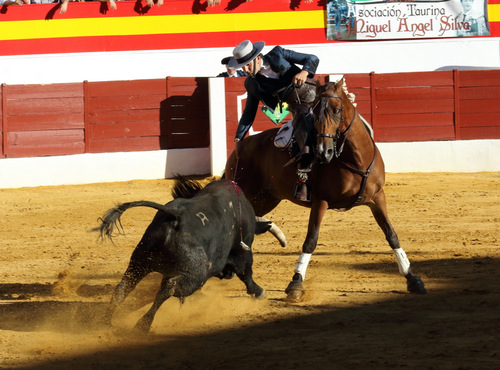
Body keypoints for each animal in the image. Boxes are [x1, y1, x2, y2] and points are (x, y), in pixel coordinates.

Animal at [97, 176, 286, 332]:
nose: (226, 274)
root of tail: (175, 217)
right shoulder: (242, 252)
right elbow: (247, 274)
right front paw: (260, 292)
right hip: (195, 274)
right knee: (169, 288)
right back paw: (143, 325)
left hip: (140, 262)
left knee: (123, 287)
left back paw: (106, 322)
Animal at [227, 78, 426, 300]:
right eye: (314, 113)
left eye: (338, 110)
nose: (324, 152)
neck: (355, 159)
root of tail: (239, 148)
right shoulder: (320, 201)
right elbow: (311, 240)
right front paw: (296, 283)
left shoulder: (377, 197)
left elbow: (391, 235)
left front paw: (412, 278)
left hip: (266, 198)